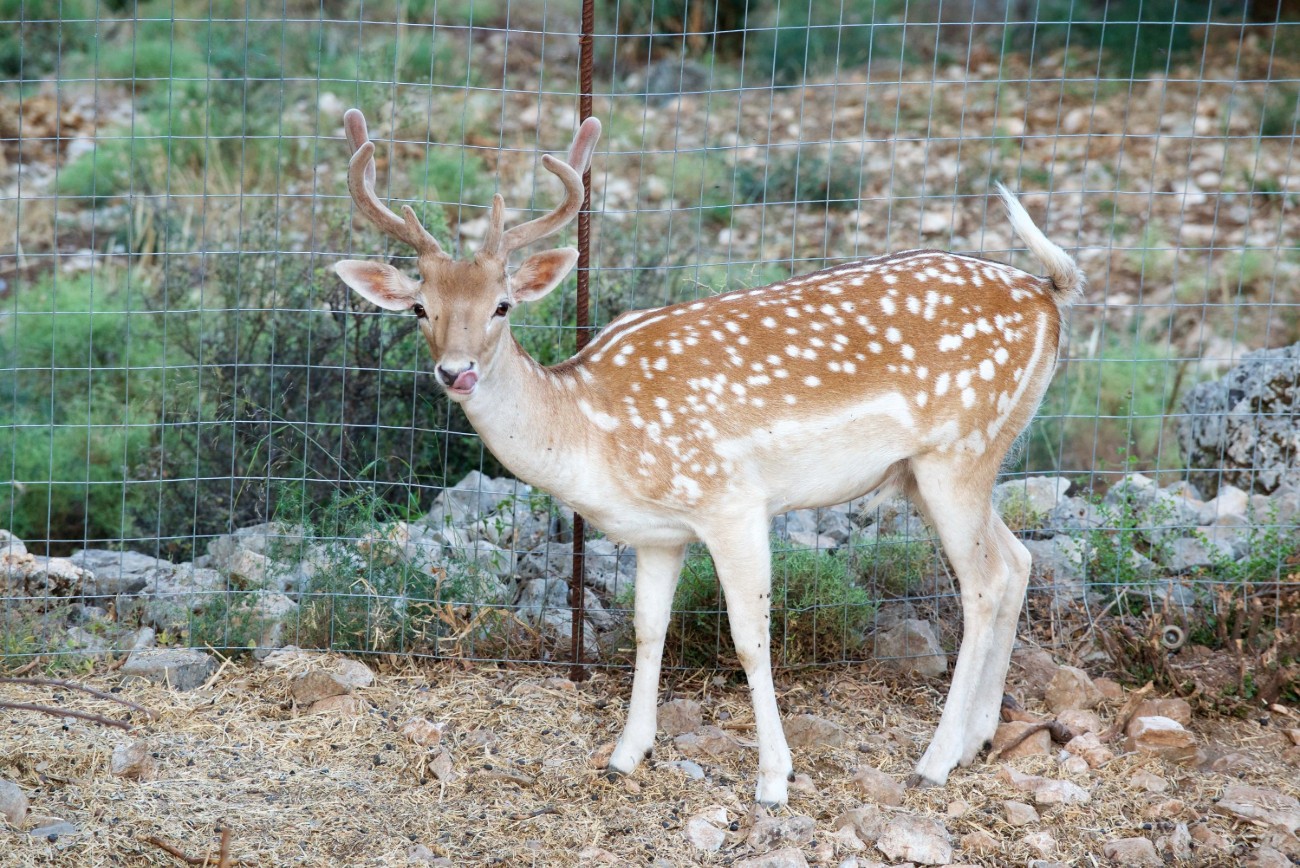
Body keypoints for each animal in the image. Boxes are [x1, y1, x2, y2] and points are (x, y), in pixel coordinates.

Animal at [330, 110, 1081, 805]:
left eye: (503, 305)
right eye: (420, 309)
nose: (455, 372)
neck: (596, 435)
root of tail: (1050, 296)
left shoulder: (731, 500)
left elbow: (750, 635)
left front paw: (775, 779)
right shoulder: (659, 534)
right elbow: (646, 629)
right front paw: (626, 754)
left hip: (959, 450)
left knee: (983, 583)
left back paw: (934, 762)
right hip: (944, 466)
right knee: (1018, 560)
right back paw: (980, 739)